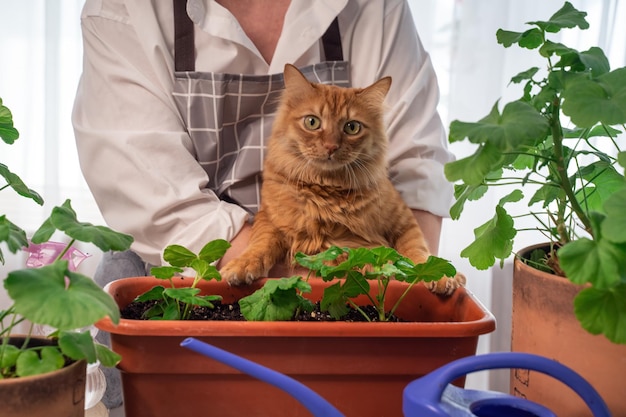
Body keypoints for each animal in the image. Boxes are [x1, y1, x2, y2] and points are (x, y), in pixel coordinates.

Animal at [219, 63, 464, 294]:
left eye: (352, 127)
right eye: (312, 122)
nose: (331, 146)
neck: (328, 188)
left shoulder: (403, 222)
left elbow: (418, 253)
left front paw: (441, 277)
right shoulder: (270, 219)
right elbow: (260, 245)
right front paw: (242, 266)